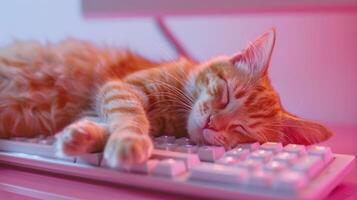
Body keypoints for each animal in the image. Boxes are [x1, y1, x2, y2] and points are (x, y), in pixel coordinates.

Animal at [0, 29, 330, 167]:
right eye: (226, 95)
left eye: (242, 129)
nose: (212, 123)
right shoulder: (122, 87)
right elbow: (130, 115)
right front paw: (129, 141)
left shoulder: (106, 100)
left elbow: (104, 124)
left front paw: (79, 138)